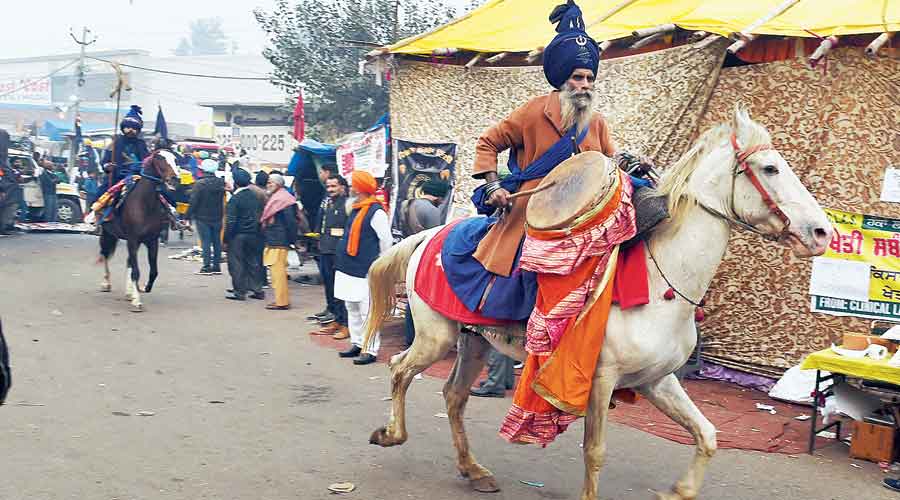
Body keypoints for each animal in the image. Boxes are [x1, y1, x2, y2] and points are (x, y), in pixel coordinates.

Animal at [98, 150, 178, 310]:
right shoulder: (133, 239)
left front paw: (144, 288)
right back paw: (106, 283)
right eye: (160, 159)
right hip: (108, 233)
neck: (145, 203)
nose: (175, 178)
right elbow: (136, 271)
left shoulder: (151, 240)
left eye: (175, 159)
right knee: (105, 254)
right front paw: (137, 301)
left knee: (128, 261)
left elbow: (153, 271)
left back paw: (129, 292)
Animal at [362, 110, 832, 500]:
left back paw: (473, 470)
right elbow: (595, 451)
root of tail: (429, 234)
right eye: (770, 168)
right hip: (436, 336)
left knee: (454, 394)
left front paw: (679, 491)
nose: (822, 232)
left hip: (474, 339)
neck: (664, 282)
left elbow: (708, 435)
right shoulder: (599, 379)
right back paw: (391, 434)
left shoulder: (656, 380)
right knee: (400, 369)